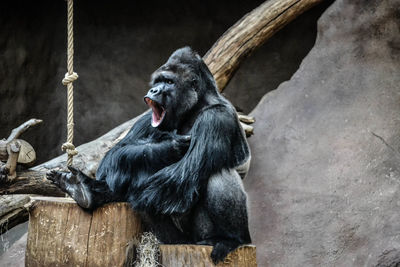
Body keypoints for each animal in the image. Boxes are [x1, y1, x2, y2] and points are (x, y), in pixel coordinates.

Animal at [47, 47, 252, 264]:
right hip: (173, 240)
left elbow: (181, 176)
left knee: (217, 175)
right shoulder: (148, 117)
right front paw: (169, 146)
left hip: (204, 238)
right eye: (157, 82)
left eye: (169, 82)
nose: (154, 91)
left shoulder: (217, 118)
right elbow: (115, 155)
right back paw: (85, 190)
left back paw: (230, 239)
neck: (196, 105)